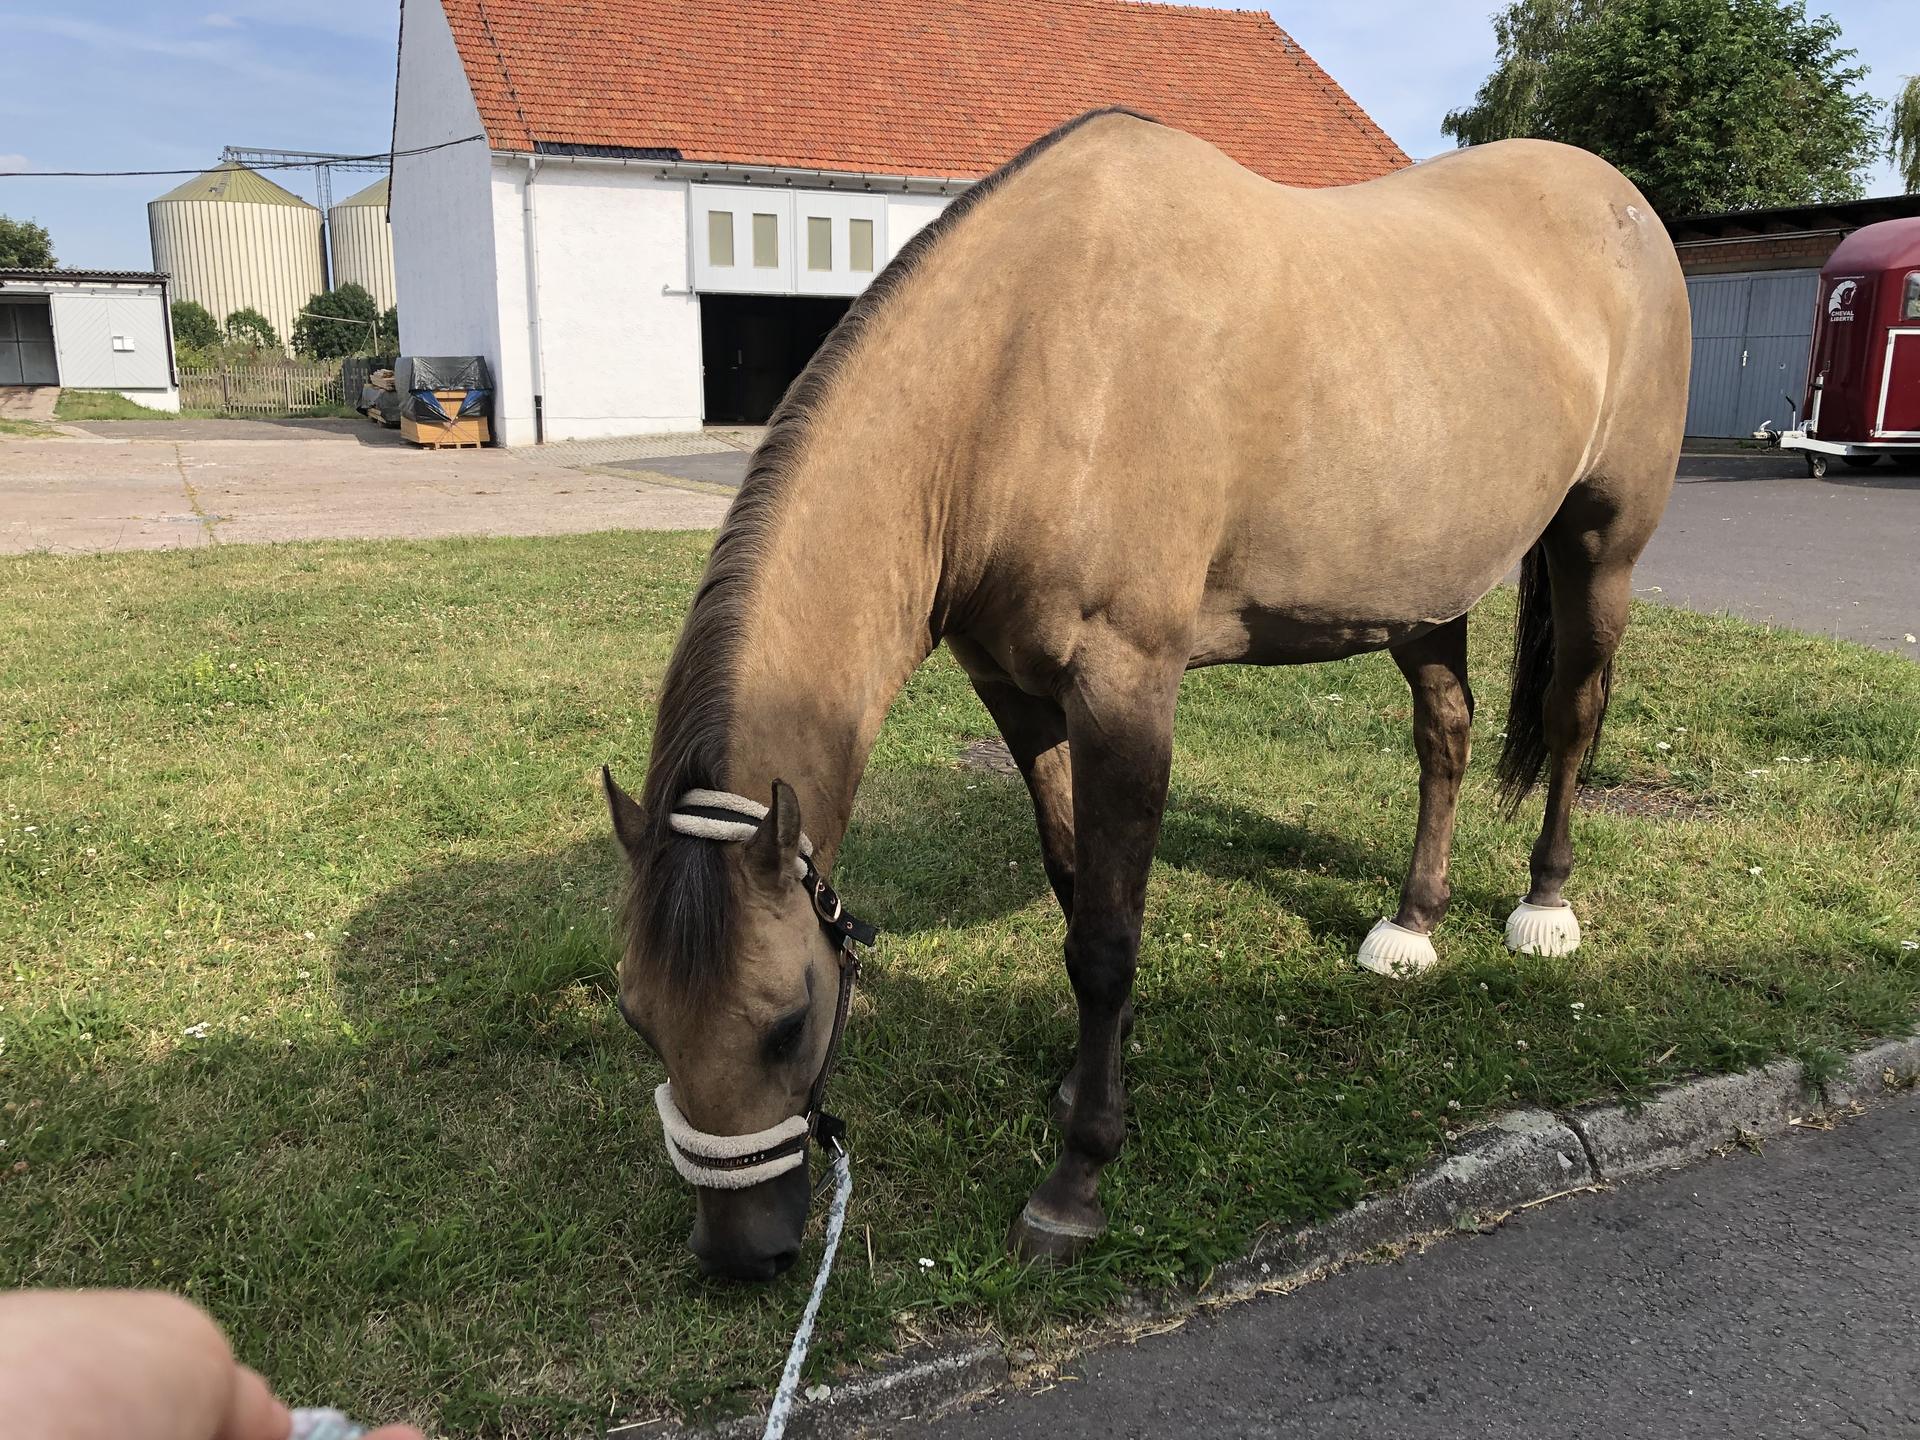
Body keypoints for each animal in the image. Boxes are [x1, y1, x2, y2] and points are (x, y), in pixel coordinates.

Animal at [603, 108, 1690, 1278]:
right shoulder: (1019, 693)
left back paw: (1545, 907)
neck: (1021, 372)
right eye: (638, 1017)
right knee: (1445, 732)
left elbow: (1107, 939)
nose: (741, 1255)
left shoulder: (1126, 689)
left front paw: (1077, 1176)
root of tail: (1616, 200)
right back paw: (1410, 926)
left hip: (1600, 548)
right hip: (1419, 591)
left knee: (1572, 720)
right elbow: (1077, 885)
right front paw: (1092, 1073)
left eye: (790, 1021)